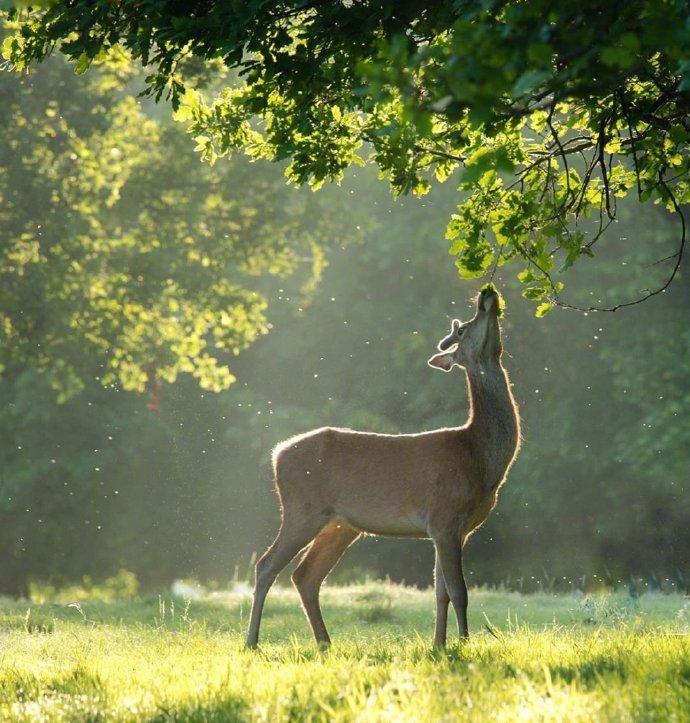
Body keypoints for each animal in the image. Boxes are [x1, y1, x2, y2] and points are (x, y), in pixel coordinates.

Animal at [245, 286, 520, 648]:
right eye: (462, 329)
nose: (486, 296)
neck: (479, 458)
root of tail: (277, 455)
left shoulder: (451, 529)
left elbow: (441, 592)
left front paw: (439, 644)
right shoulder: (445, 516)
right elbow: (460, 591)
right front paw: (463, 643)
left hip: (340, 524)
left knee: (305, 575)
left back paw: (325, 643)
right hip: (301, 508)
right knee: (266, 565)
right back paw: (252, 641)